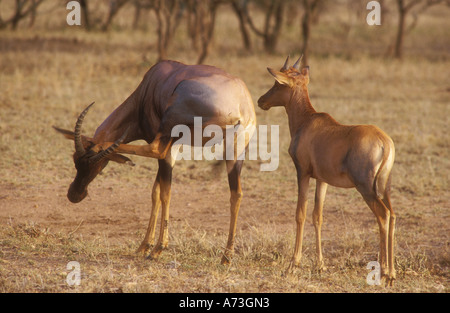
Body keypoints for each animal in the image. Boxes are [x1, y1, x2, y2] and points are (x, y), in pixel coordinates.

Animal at [53, 59, 256, 264]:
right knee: (236, 194)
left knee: (154, 149)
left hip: (171, 125)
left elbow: (164, 192)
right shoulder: (174, 147)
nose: (74, 195)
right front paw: (144, 246)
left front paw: (157, 248)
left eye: (95, 165)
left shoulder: (168, 148)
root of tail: (241, 105)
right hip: (235, 151)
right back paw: (226, 256)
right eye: (75, 159)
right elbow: (155, 192)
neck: (149, 85)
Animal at [258, 56, 396, 286]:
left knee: (383, 215)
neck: (307, 121)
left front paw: (292, 266)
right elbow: (318, 216)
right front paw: (320, 265)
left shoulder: (302, 173)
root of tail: (385, 142)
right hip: (383, 187)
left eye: (278, 83)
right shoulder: (322, 180)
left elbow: (301, 214)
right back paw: (392, 273)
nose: (261, 101)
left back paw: (384, 273)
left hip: (366, 188)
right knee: (393, 215)